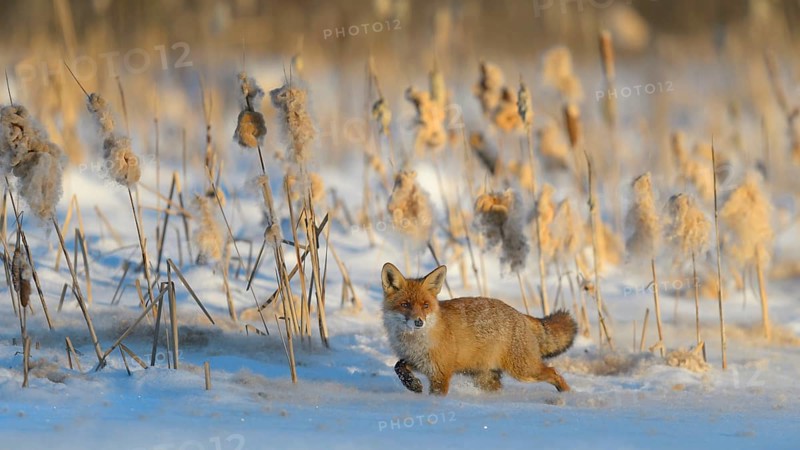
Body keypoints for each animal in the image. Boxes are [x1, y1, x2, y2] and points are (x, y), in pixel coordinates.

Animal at [381, 262, 577, 395]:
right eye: (405, 304)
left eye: (425, 305)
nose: (419, 322)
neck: (414, 342)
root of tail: (519, 313)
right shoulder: (417, 361)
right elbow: (398, 366)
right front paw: (413, 384)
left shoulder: (440, 373)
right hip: (485, 378)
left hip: (523, 370)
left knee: (554, 372)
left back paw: (566, 396)